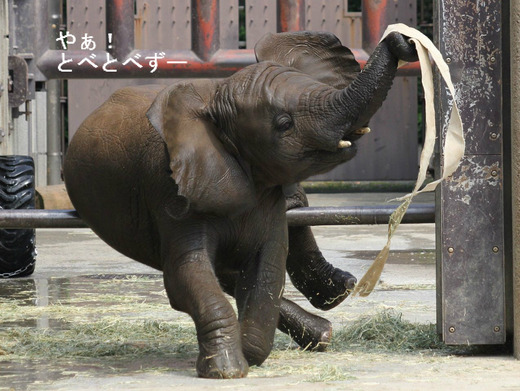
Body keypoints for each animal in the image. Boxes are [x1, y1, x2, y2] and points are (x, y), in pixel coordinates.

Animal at [64, 29, 418, 378]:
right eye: (284, 123)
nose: (403, 39)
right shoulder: (173, 194)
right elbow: (188, 274)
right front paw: (228, 369)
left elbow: (266, 270)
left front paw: (250, 352)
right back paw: (323, 326)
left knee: (292, 211)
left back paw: (336, 298)